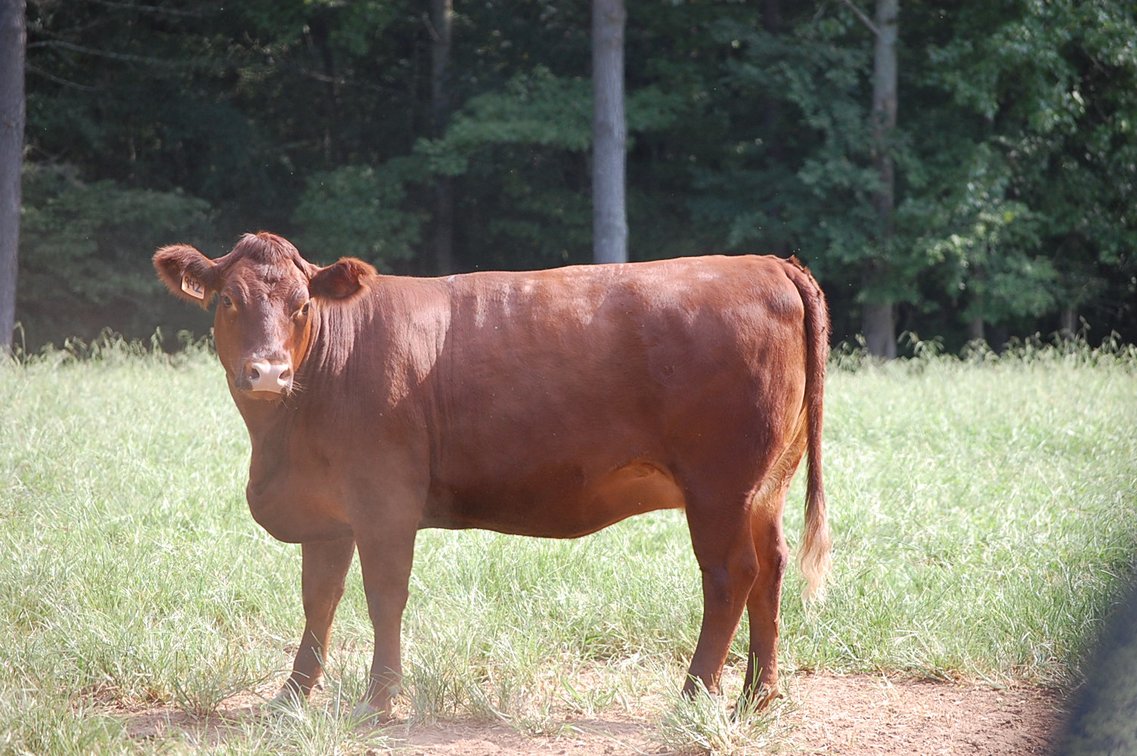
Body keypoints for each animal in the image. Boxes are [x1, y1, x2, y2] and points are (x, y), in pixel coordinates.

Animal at [153, 231, 831, 721]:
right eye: (229, 300)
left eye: (301, 305)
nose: (267, 372)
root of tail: (768, 264)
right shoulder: (328, 511)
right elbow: (319, 599)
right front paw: (291, 697)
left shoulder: (384, 502)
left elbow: (383, 596)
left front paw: (378, 701)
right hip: (764, 487)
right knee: (770, 569)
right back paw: (757, 695)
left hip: (718, 485)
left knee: (730, 575)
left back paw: (693, 693)